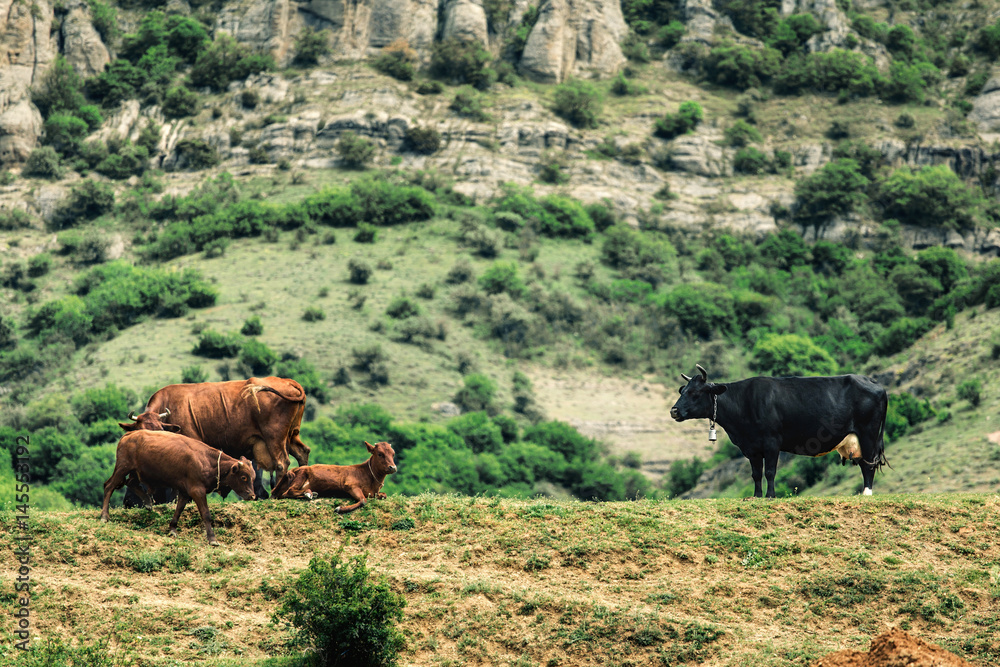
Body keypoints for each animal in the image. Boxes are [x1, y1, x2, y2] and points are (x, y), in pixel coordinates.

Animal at [100, 428, 258, 548]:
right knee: (109, 486)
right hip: (123, 467)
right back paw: (104, 516)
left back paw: (148, 502)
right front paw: (212, 539)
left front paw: (172, 529)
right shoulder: (197, 491)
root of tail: (130, 435)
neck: (207, 461)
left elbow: (179, 509)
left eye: (253, 477)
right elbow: (206, 514)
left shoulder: (184, 492)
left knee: (131, 483)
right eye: (244, 477)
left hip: (135, 472)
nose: (252, 496)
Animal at [668, 368, 888, 498]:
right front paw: (756, 496)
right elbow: (756, 473)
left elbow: (770, 471)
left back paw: (866, 493)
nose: (674, 411)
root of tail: (873, 382)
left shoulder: (772, 442)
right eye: (682, 391)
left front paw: (770, 496)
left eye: (695, 393)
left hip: (868, 434)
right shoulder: (752, 447)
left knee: (869, 464)